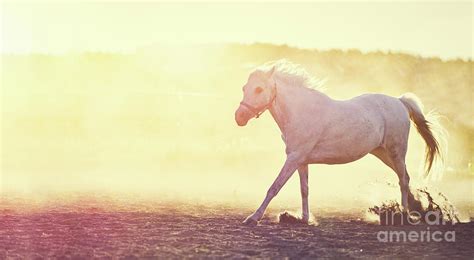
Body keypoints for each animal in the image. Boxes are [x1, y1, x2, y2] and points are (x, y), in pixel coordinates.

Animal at [235, 60, 442, 224]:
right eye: (244, 88)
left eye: (259, 89)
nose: (239, 118)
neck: (301, 111)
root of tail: (400, 101)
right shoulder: (301, 161)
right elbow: (304, 189)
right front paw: (303, 218)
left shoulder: (294, 158)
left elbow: (274, 187)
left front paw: (253, 218)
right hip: (383, 153)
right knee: (405, 177)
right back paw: (415, 208)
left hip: (396, 152)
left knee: (403, 179)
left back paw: (404, 214)